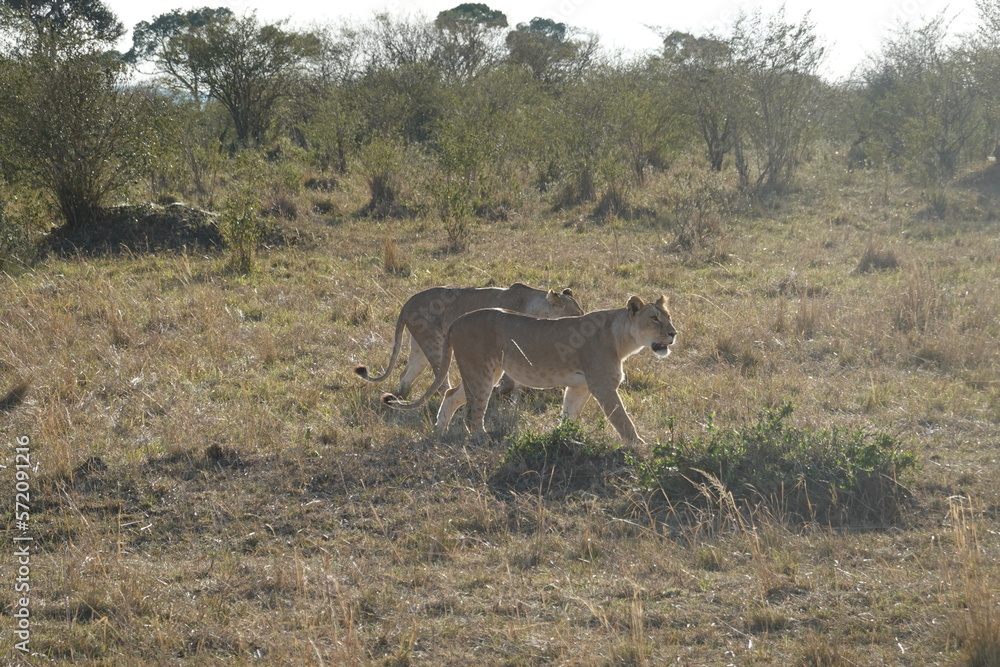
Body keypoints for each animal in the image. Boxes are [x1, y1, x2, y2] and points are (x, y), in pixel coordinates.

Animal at [354, 283, 583, 398]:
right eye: (575, 315)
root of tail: (406, 304)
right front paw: (501, 391)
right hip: (434, 342)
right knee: (441, 379)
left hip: (419, 345)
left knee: (406, 374)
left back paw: (400, 397)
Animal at [384, 295, 677, 445]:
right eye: (654, 318)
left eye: (669, 317)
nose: (673, 334)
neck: (623, 339)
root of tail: (459, 319)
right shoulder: (602, 386)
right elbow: (623, 420)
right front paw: (640, 447)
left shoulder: (579, 386)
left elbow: (568, 415)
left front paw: (564, 438)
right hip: (481, 370)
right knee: (472, 415)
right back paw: (483, 439)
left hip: (485, 371)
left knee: (451, 395)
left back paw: (439, 431)